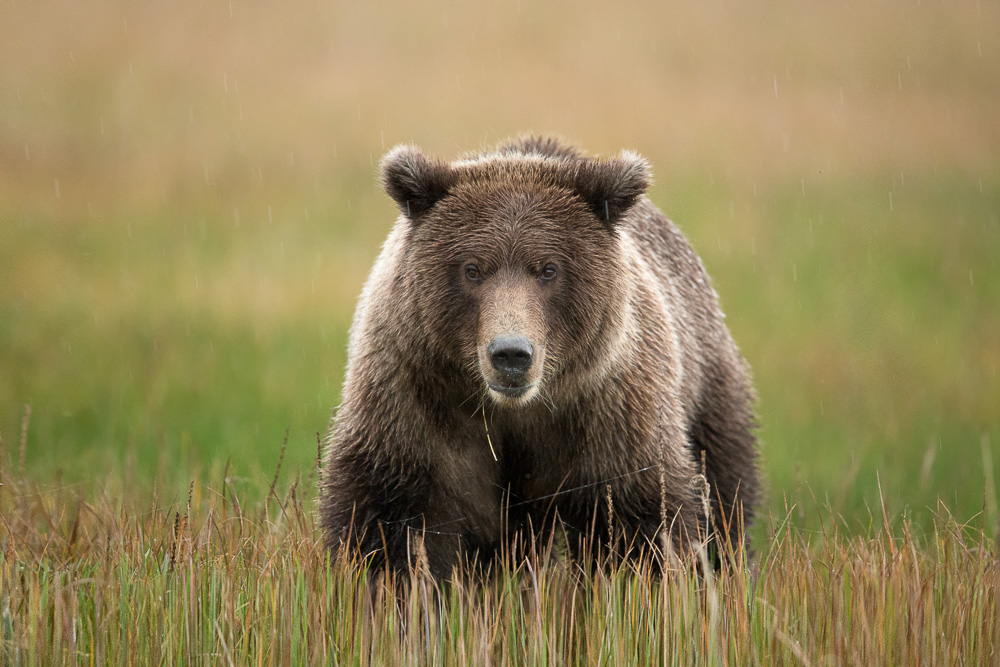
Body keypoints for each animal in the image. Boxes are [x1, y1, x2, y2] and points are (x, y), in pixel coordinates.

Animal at [320, 136, 758, 577]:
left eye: (548, 269)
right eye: (472, 269)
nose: (511, 353)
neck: (516, 411)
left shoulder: (611, 412)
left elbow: (637, 520)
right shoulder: (414, 400)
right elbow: (392, 522)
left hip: (706, 387)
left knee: (726, 493)